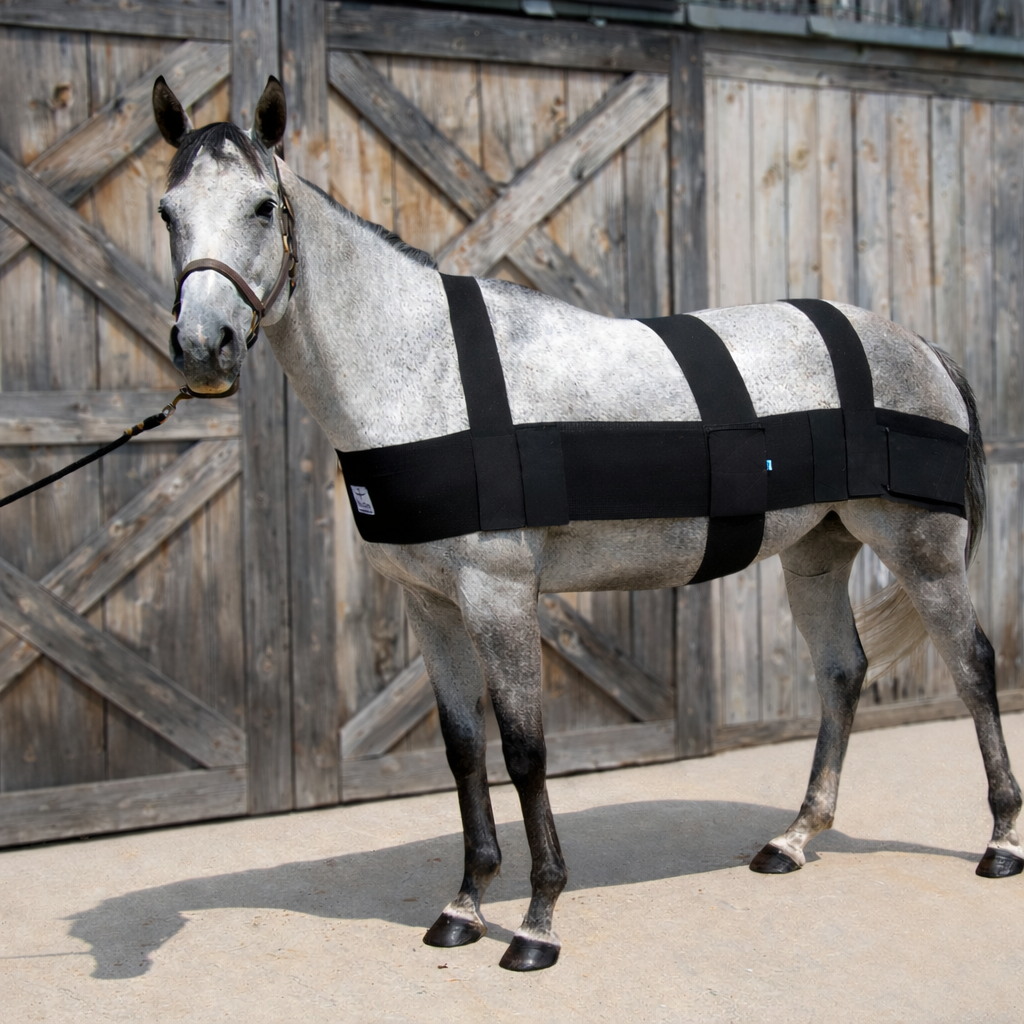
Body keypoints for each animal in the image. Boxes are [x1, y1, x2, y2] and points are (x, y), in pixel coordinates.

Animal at [152, 75, 1022, 972]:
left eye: (262, 207)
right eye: (167, 211)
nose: (203, 346)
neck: (421, 367)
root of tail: (916, 344)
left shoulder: (499, 597)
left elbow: (524, 747)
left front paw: (537, 920)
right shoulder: (427, 603)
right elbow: (463, 746)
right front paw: (465, 904)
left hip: (920, 550)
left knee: (973, 664)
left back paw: (999, 840)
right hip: (817, 551)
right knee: (842, 671)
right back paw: (795, 838)